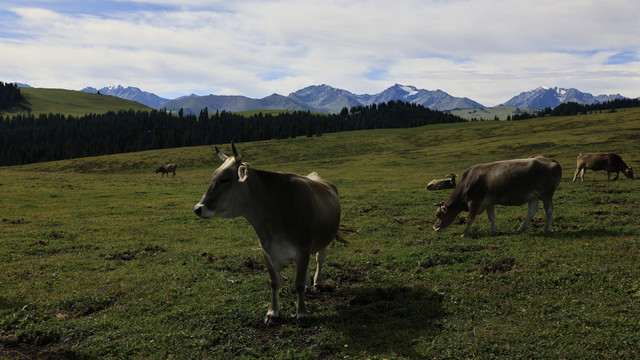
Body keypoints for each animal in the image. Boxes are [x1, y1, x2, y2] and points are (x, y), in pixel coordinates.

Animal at [192, 143, 342, 324]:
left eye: (225, 179)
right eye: (213, 177)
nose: (198, 208)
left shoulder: (303, 247)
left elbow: (298, 283)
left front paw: (302, 313)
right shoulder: (267, 250)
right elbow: (274, 282)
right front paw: (272, 312)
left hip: (323, 239)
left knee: (320, 258)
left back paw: (317, 283)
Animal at [432, 156, 564, 238]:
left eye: (438, 214)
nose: (434, 227)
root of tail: (551, 160)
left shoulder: (474, 202)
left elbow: (470, 218)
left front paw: (464, 234)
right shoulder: (489, 203)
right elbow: (491, 217)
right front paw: (494, 231)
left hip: (547, 194)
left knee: (549, 209)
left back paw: (546, 229)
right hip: (533, 196)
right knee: (532, 211)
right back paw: (520, 229)